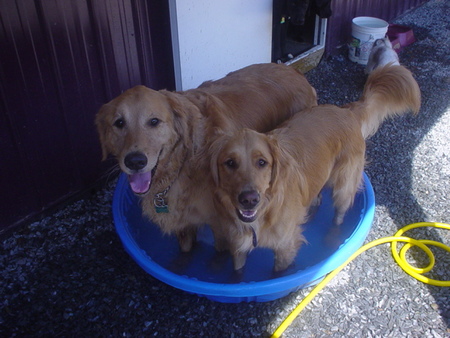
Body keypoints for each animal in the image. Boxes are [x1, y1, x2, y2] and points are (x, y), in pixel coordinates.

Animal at [95, 62, 316, 251]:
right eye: (119, 123)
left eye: (154, 121)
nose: (135, 161)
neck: (183, 164)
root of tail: (297, 73)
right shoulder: (182, 223)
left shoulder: (220, 224)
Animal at [209, 64, 420, 272]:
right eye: (230, 163)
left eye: (262, 162)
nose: (249, 199)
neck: (263, 213)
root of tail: (345, 110)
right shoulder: (238, 248)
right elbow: (238, 271)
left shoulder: (286, 246)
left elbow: (278, 271)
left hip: (344, 185)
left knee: (339, 214)